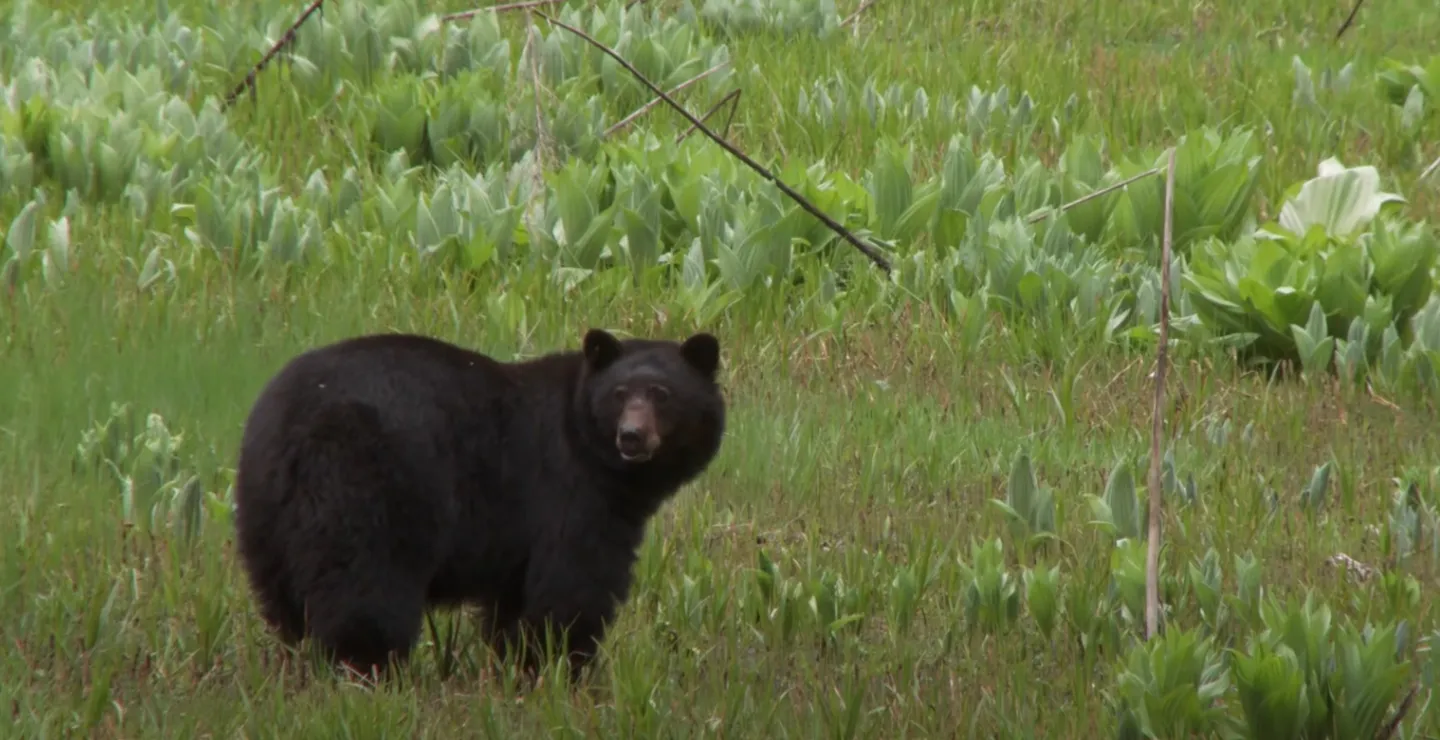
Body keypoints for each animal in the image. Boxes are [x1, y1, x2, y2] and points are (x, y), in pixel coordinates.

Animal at [237, 326, 731, 679]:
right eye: (619, 394)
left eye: (663, 394)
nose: (632, 436)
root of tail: (290, 423)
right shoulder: (571, 493)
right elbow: (573, 585)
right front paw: (564, 671)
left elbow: (514, 603)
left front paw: (516, 666)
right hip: (362, 482)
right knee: (362, 586)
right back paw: (368, 669)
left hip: (265, 512)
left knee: (283, 600)